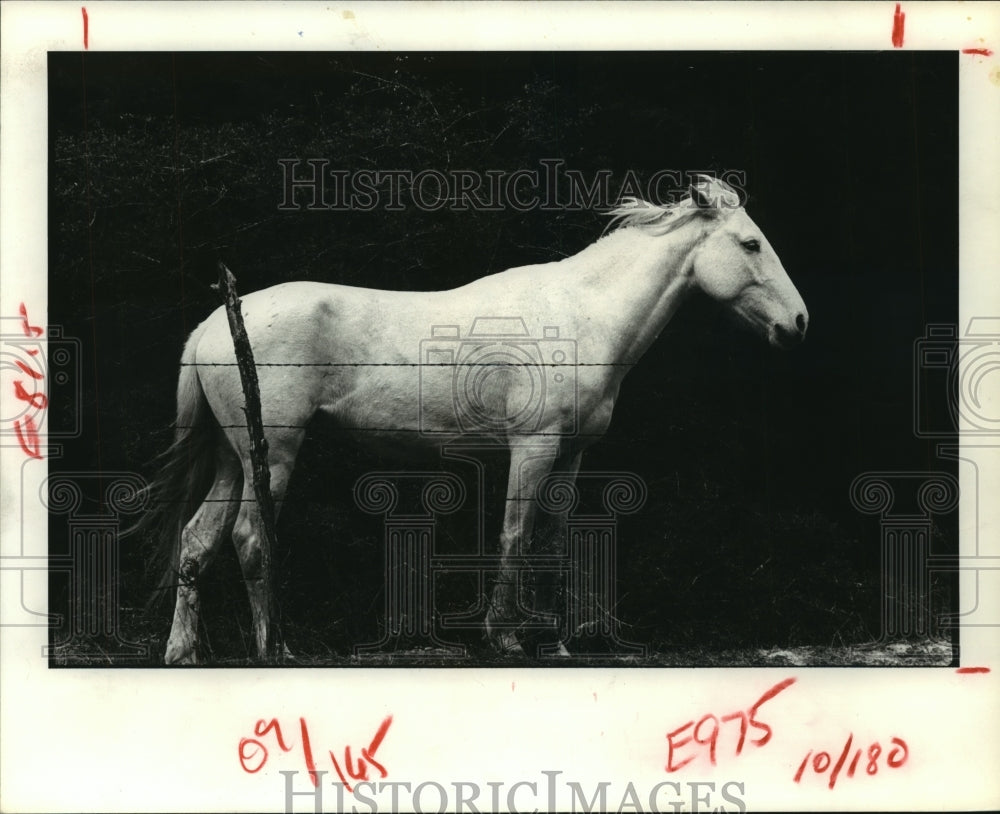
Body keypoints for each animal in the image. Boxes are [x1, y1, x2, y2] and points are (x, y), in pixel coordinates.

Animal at [146, 177, 804, 664]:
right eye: (750, 244)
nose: (797, 323)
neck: (579, 318)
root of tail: (214, 323)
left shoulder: (571, 456)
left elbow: (551, 543)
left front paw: (554, 642)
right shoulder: (532, 448)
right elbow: (514, 536)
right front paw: (504, 637)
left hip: (234, 459)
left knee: (197, 541)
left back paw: (183, 652)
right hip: (273, 457)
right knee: (250, 540)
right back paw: (273, 649)